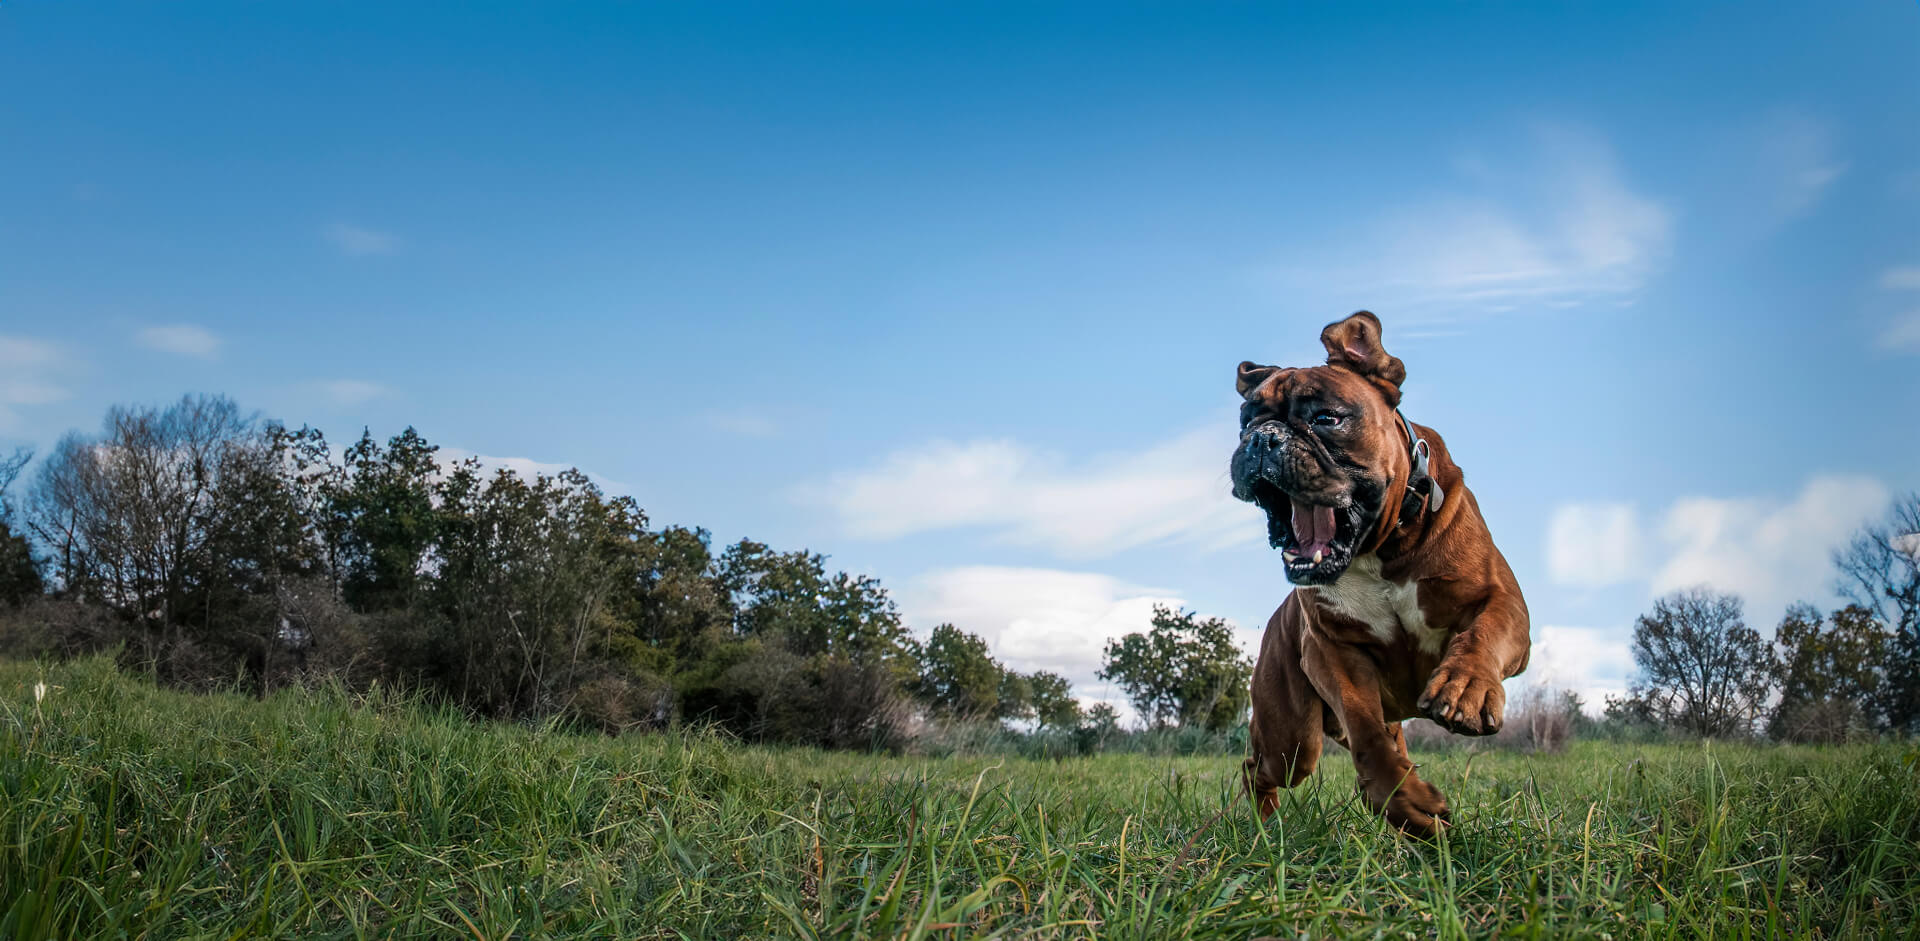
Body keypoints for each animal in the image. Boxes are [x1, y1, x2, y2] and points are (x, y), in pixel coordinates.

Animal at [1228, 313, 1528, 833]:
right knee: (1258, 768)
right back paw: (1265, 827)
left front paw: (1465, 688)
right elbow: (1365, 731)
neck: (1381, 548)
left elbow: (1483, 632)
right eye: (1246, 422)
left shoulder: (1501, 602)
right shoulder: (1334, 652)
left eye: (1326, 419)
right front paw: (1405, 802)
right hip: (1291, 741)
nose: (1263, 438)